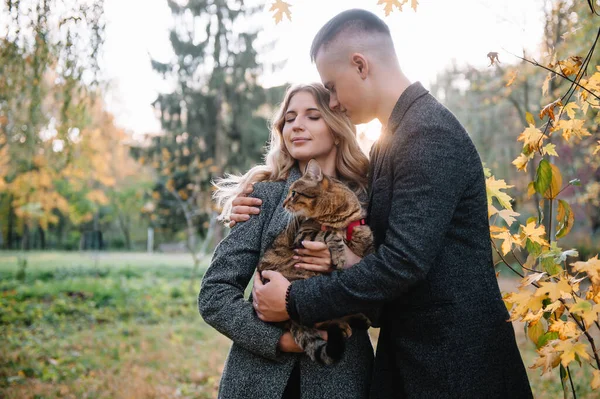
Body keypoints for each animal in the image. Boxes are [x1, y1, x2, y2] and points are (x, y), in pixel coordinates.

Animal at [255, 159, 372, 366]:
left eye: (294, 193)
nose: (284, 203)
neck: (335, 214)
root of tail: (287, 322)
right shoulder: (303, 234)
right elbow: (330, 233)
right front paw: (339, 253)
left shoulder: (357, 225)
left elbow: (361, 235)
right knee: (316, 318)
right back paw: (342, 324)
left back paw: (357, 318)